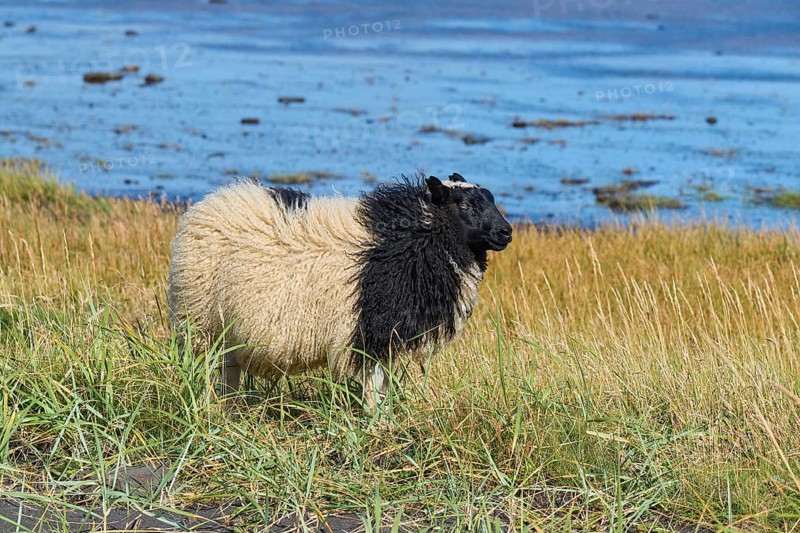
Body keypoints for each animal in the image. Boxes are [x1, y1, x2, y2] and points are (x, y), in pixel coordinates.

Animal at [167, 172, 513, 407]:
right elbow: (374, 385)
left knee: (230, 370)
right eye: (464, 205)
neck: (417, 240)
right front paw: (376, 425)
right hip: (200, 319)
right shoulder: (370, 330)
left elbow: (382, 383)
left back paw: (230, 410)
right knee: (210, 370)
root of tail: (207, 204)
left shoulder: (386, 335)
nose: (506, 232)